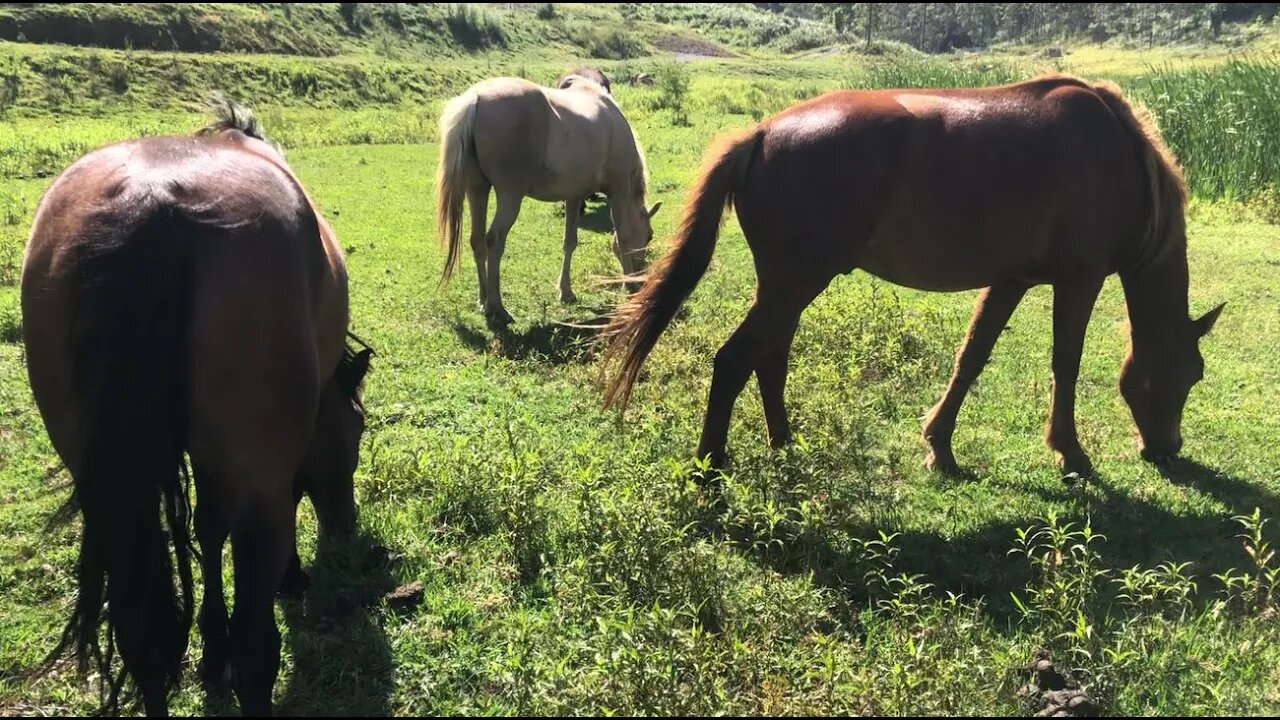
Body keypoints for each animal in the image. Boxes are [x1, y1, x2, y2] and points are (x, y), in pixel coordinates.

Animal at [21, 99, 373, 716]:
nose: (343, 529)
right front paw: (284, 585)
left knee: (140, 637)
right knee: (257, 647)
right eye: (356, 431)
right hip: (257, 492)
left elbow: (208, 529)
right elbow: (230, 522)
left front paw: (210, 654)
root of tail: (151, 201)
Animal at [435, 76, 661, 327]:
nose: (642, 273)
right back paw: (498, 307)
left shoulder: (574, 196)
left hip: (477, 190)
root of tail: (476, 98)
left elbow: (570, 242)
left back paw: (484, 301)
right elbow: (623, 238)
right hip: (509, 195)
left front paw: (566, 291)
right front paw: (628, 284)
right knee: (494, 240)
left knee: (476, 241)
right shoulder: (618, 192)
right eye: (649, 236)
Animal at [601, 74, 1225, 478]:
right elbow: (1064, 365)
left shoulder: (1010, 280)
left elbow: (972, 357)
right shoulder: (1080, 278)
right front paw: (1068, 451)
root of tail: (760, 135)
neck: (1117, 154)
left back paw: (785, 445)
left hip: (786, 286)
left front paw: (939, 446)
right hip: (794, 283)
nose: (1167, 448)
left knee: (768, 361)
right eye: (1192, 373)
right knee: (734, 361)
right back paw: (709, 467)